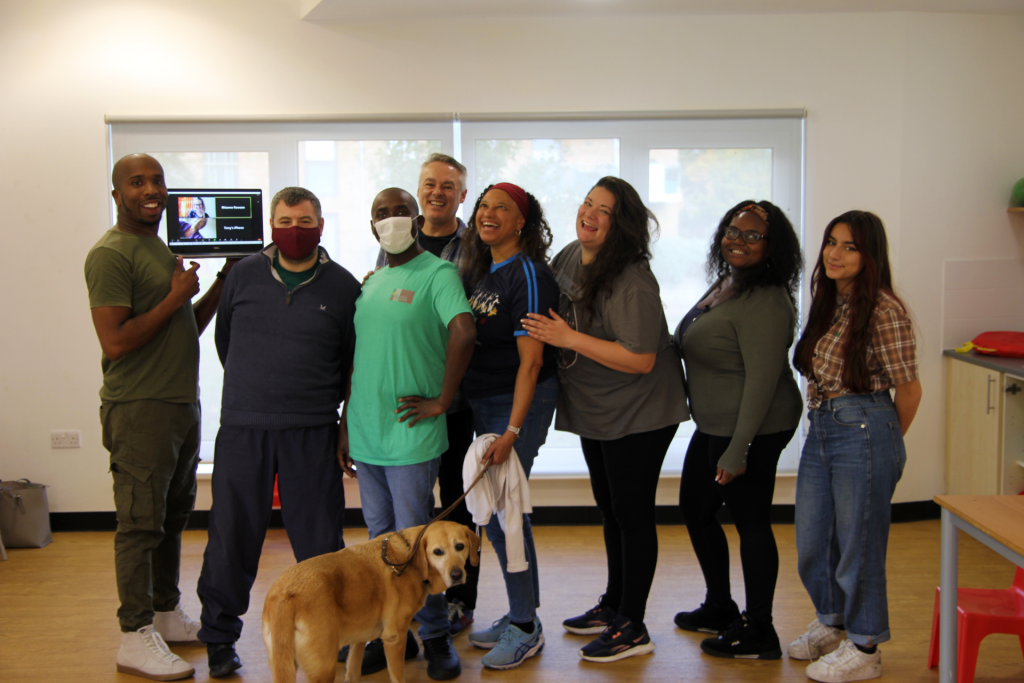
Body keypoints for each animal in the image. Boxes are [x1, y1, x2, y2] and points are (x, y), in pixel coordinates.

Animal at [260, 524, 475, 683]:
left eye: (460, 547)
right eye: (437, 552)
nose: (457, 575)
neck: (408, 556)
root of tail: (284, 597)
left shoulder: (359, 640)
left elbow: (353, 672)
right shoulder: (394, 638)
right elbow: (397, 676)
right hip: (324, 669)